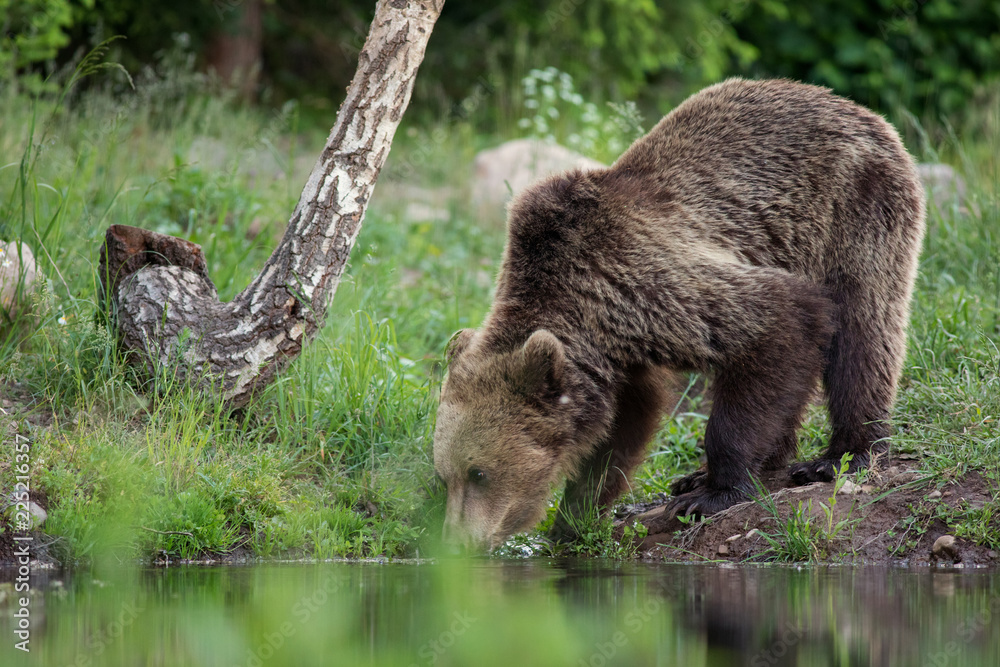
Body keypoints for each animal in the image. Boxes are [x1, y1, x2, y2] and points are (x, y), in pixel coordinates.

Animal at [433, 78, 926, 552]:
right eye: (443, 476)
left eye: (479, 473)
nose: (457, 543)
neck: (586, 315)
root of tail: (859, 110)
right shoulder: (619, 354)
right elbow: (625, 425)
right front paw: (575, 518)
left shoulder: (649, 283)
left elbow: (780, 317)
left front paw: (712, 493)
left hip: (853, 210)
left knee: (864, 330)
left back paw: (839, 456)